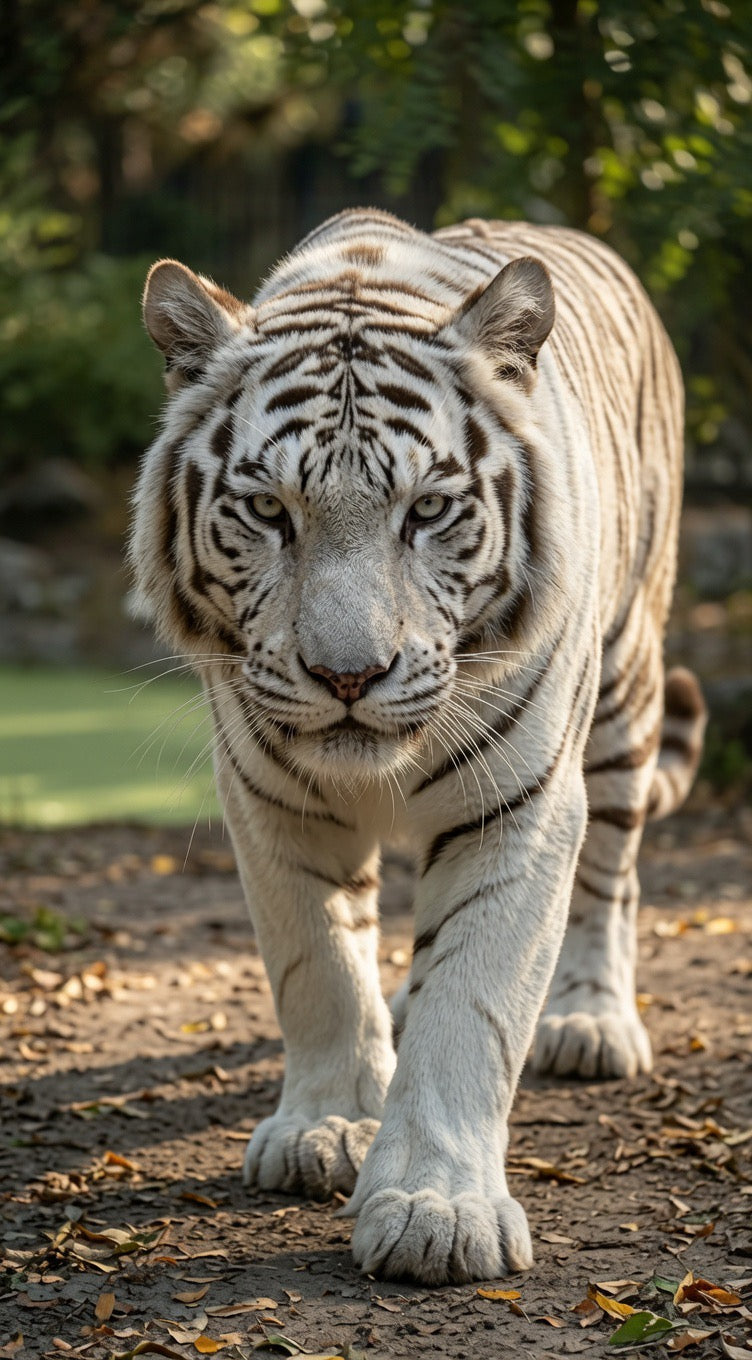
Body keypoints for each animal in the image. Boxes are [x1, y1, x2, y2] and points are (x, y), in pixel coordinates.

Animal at [129, 207, 706, 1286]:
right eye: (267, 511)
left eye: (428, 511)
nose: (347, 675)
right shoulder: (267, 796)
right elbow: (317, 964)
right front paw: (327, 1125)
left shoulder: (518, 804)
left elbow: (472, 1006)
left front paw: (436, 1207)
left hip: (626, 685)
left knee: (611, 874)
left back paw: (588, 1017)